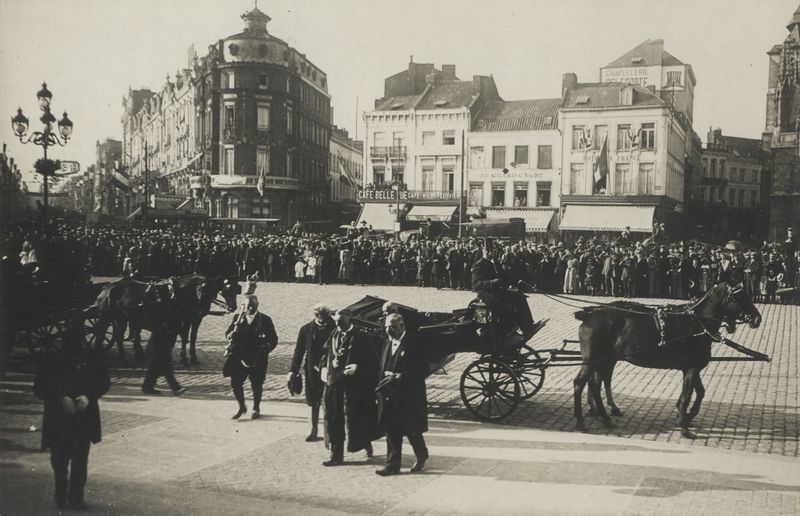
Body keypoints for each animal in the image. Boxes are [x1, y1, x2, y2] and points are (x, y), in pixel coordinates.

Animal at [572, 284, 760, 438]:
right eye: (740, 298)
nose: (757, 318)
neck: (696, 324)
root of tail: (590, 315)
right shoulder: (692, 368)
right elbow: (687, 395)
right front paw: (684, 426)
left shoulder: (691, 368)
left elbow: (699, 392)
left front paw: (687, 415)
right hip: (593, 360)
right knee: (581, 383)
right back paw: (581, 420)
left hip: (604, 360)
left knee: (596, 384)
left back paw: (605, 417)